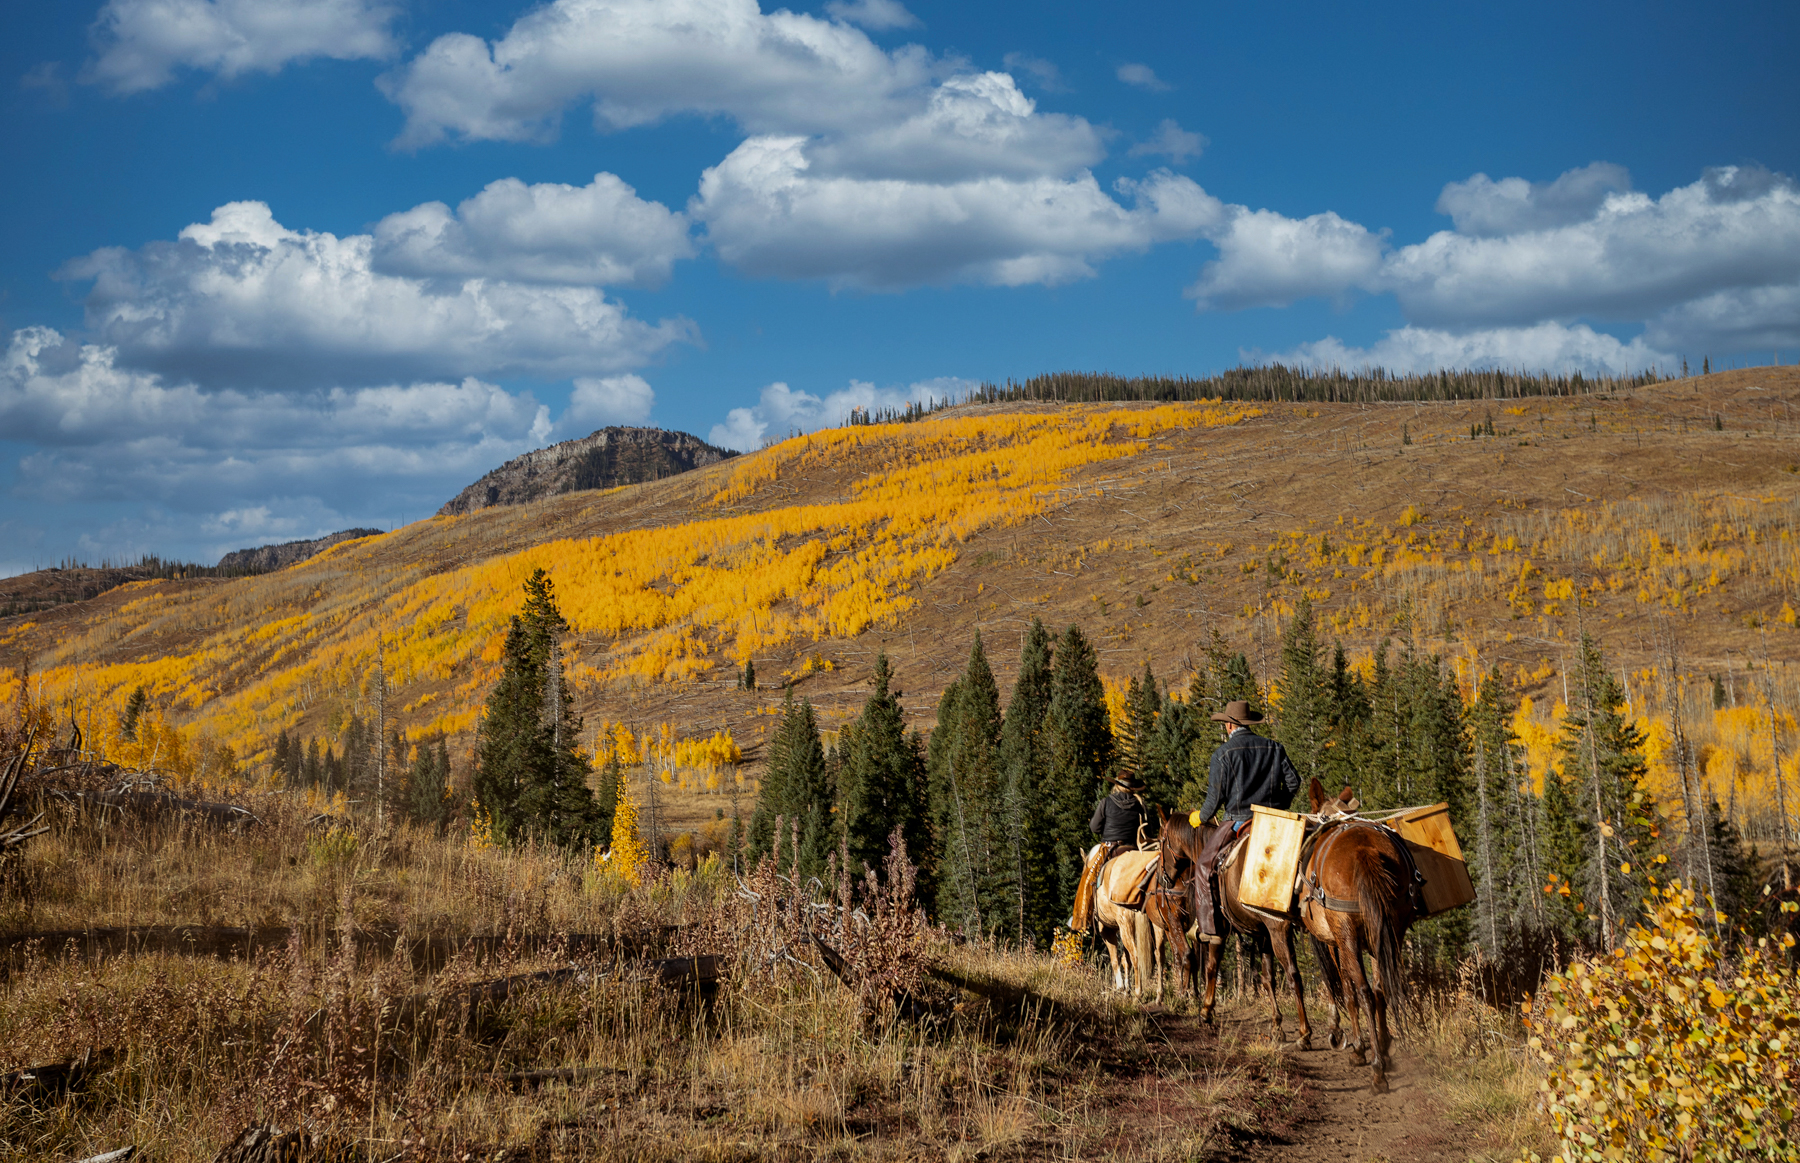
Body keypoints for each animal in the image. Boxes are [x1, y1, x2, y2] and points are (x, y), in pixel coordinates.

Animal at [1159, 810, 1317, 1051]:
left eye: (1161, 841)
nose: (1164, 879)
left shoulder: (1219, 929)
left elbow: (1211, 967)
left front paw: (1206, 1011)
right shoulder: (1264, 935)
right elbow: (1268, 978)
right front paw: (1276, 1026)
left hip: (1280, 928)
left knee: (1294, 975)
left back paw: (1305, 1033)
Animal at [1303, 777, 1425, 1101]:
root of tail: (1363, 851)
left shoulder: (1335, 941)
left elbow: (1346, 989)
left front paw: (1356, 1047)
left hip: (1347, 934)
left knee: (1365, 992)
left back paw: (1377, 1070)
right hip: (1391, 929)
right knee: (1382, 989)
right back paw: (1384, 1054)